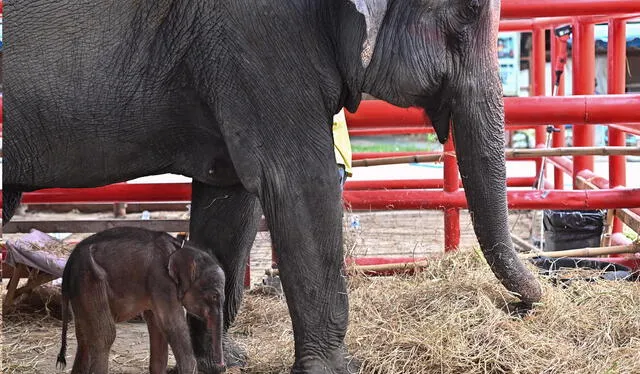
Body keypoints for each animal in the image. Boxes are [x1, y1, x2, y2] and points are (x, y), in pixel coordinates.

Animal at [57, 226, 228, 374]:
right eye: (214, 296)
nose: (222, 365)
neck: (179, 247)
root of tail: (69, 264)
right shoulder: (161, 280)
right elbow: (173, 326)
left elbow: (157, 327)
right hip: (90, 280)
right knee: (104, 336)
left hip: (80, 289)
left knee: (84, 338)